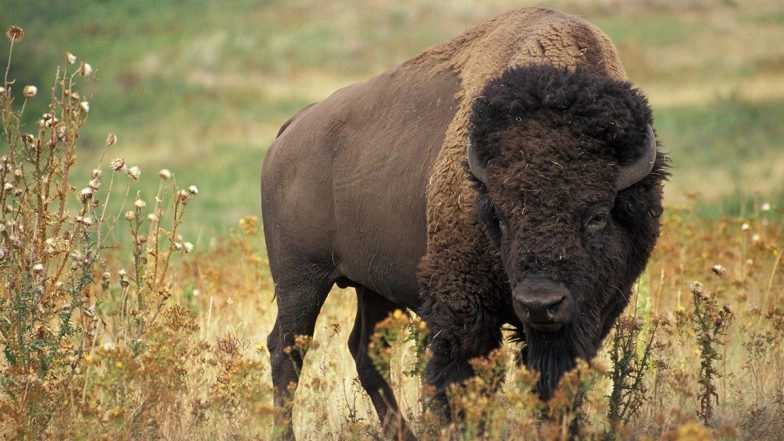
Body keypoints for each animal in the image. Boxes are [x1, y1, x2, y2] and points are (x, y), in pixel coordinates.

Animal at [261, 7, 667, 440]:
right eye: (501, 216)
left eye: (597, 216)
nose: (540, 303)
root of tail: (291, 130)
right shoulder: (462, 307)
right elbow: (460, 381)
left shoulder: (593, 312)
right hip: (301, 279)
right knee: (287, 350)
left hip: (372, 287)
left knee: (365, 350)